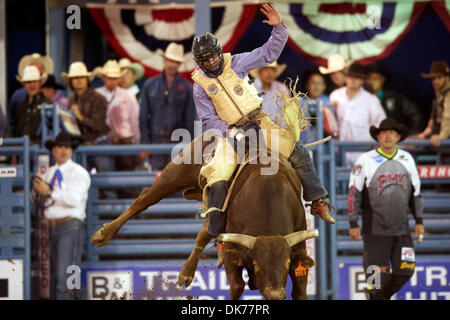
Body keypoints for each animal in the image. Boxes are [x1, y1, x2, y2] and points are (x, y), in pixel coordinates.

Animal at [90, 131, 316, 298]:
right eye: (257, 265)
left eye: (286, 264)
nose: (275, 294)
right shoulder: (231, 255)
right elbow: (236, 287)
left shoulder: (299, 253)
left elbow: (300, 291)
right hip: (176, 172)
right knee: (145, 198)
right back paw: (103, 234)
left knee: (204, 232)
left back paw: (186, 273)